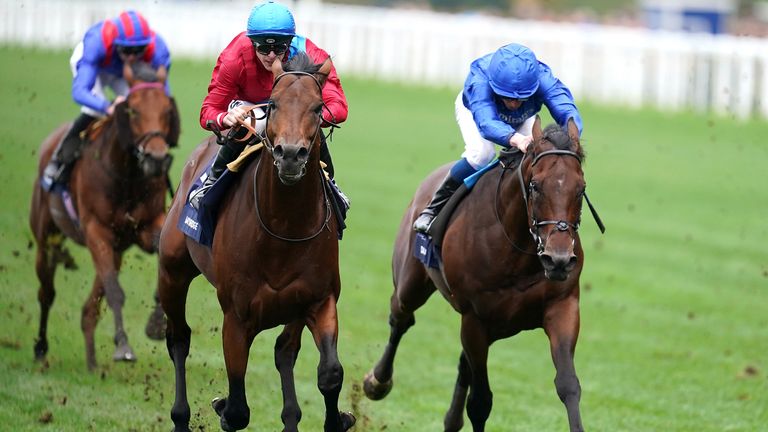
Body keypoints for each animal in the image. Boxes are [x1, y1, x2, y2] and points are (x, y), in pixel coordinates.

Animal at [29, 60, 179, 372]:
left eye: (167, 111)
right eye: (132, 110)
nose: (156, 160)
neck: (127, 175)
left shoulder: (147, 225)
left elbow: (159, 253)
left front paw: (157, 323)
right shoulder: (96, 230)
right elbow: (115, 291)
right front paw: (123, 346)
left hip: (116, 249)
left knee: (90, 306)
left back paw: (91, 360)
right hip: (46, 238)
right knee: (46, 293)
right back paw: (40, 348)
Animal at [160, 53, 358, 432]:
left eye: (318, 107)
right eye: (274, 103)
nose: (291, 155)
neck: (284, 228)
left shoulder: (320, 299)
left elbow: (330, 373)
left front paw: (336, 418)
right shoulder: (237, 317)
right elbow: (237, 410)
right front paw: (223, 406)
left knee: (284, 351)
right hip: (172, 271)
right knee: (178, 338)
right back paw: (179, 417)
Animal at [364, 116, 596, 430]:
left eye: (580, 188)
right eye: (535, 186)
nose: (558, 260)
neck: (517, 249)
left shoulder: (562, 306)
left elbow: (568, 385)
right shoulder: (475, 319)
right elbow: (481, 402)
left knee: (464, 363)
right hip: (411, 283)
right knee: (400, 317)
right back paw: (377, 382)